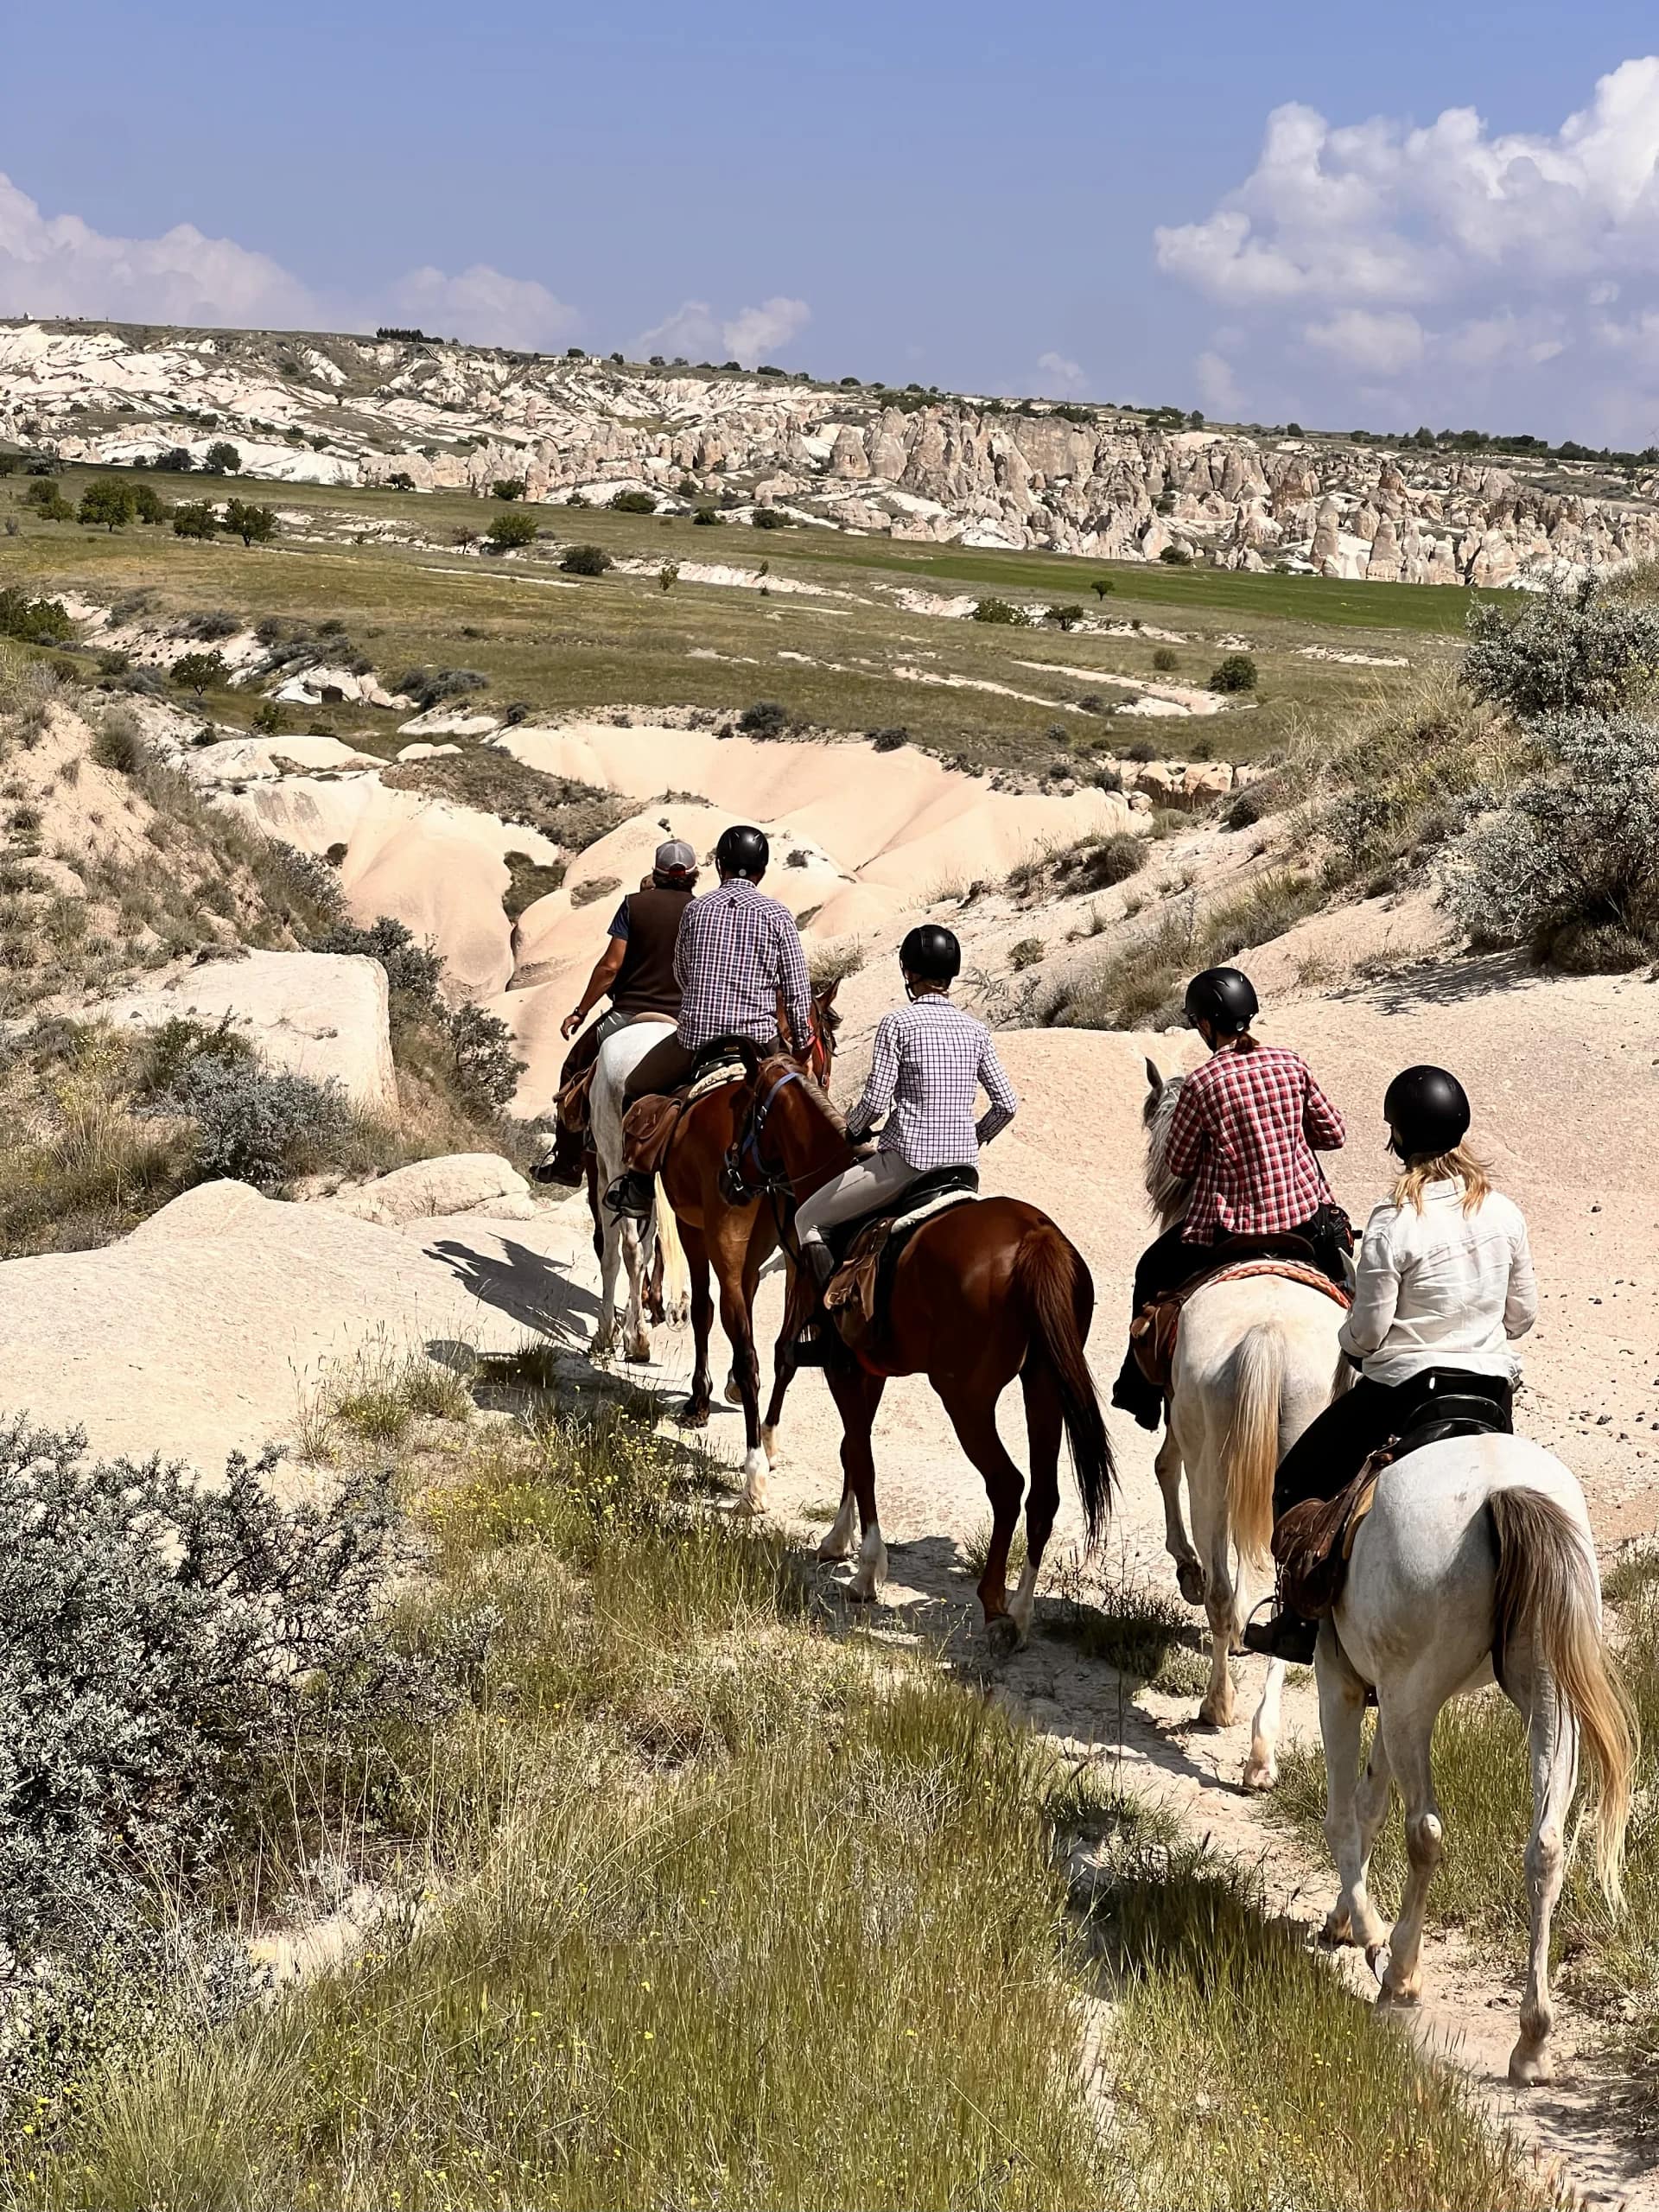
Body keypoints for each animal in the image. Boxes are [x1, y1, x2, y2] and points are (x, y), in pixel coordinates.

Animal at [652, 984, 841, 1512]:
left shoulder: (696, 1231)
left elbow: (704, 1311)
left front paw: (700, 1400)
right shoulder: (766, 1256)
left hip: (720, 1240)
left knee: (749, 1346)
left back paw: (754, 1473)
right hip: (791, 1258)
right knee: (780, 1350)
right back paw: (768, 1443)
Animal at [728, 1046, 1113, 1650]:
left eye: (745, 1109)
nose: (729, 1174)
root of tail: (1037, 1238)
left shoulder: (843, 1368)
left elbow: (861, 1455)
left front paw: (867, 1570)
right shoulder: (869, 1370)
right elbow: (851, 1449)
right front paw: (839, 1539)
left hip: (966, 1399)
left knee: (1007, 1485)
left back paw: (994, 1604)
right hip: (1043, 1387)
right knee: (1042, 1496)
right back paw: (1022, 1613)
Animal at [1142, 1061, 1350, 1787]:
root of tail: (1267, 1331)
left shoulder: (1181, 1427)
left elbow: (1162, 1467)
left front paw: (1184, 1569)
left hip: (1217, 1469)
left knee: (1228, 1587)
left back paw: (1222, 1710)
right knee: (1271, 1594)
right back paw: (1259, 1748)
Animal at [1318, 1437, 1636, 2086]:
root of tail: (1503, 1489)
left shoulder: (1340, 1677)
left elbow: (1346, 1814)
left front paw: (1367, 1931)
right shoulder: (1383, 1699)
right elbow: (1368, 1805)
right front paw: (1348, 1918)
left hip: (1411, 1697)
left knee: (1425, 1831)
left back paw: (1400, 1977)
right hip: (1546, 1699)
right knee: (1545, 1846)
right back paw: (1532, 2041)